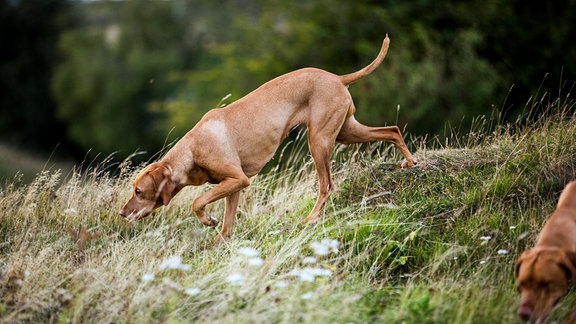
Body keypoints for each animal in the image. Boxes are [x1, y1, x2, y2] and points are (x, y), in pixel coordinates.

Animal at [118, 35, 414, 239]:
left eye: (138, 191)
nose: (121, 213)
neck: (192, 151)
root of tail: (337, 78)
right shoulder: (233, 187)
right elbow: (226, 226)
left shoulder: (238, 179)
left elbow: (197, 201)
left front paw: (207, 221)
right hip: (345, 131)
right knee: (392, 130)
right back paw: (410, 163)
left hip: (319, 142)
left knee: (326, 185)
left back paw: (310, 220)